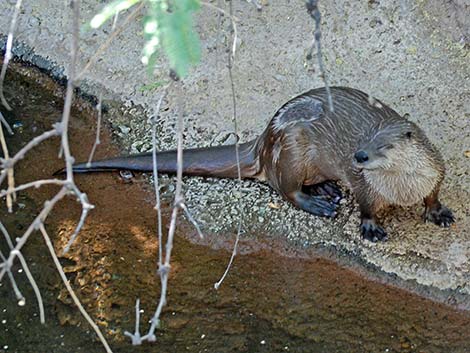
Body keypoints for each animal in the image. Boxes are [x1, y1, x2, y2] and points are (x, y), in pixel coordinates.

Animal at [67, 87, 456, 242]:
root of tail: (264, 138)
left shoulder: (435, 172)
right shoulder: (366, 186)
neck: (404, 189)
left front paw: (439, 212)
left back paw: (327, 189)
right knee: (285, 188)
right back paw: (318, 203)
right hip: (292, 150)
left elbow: (433, 195)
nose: (358, 156)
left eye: (383, 145)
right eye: (364, 143)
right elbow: (366, 206)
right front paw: (371, 228)